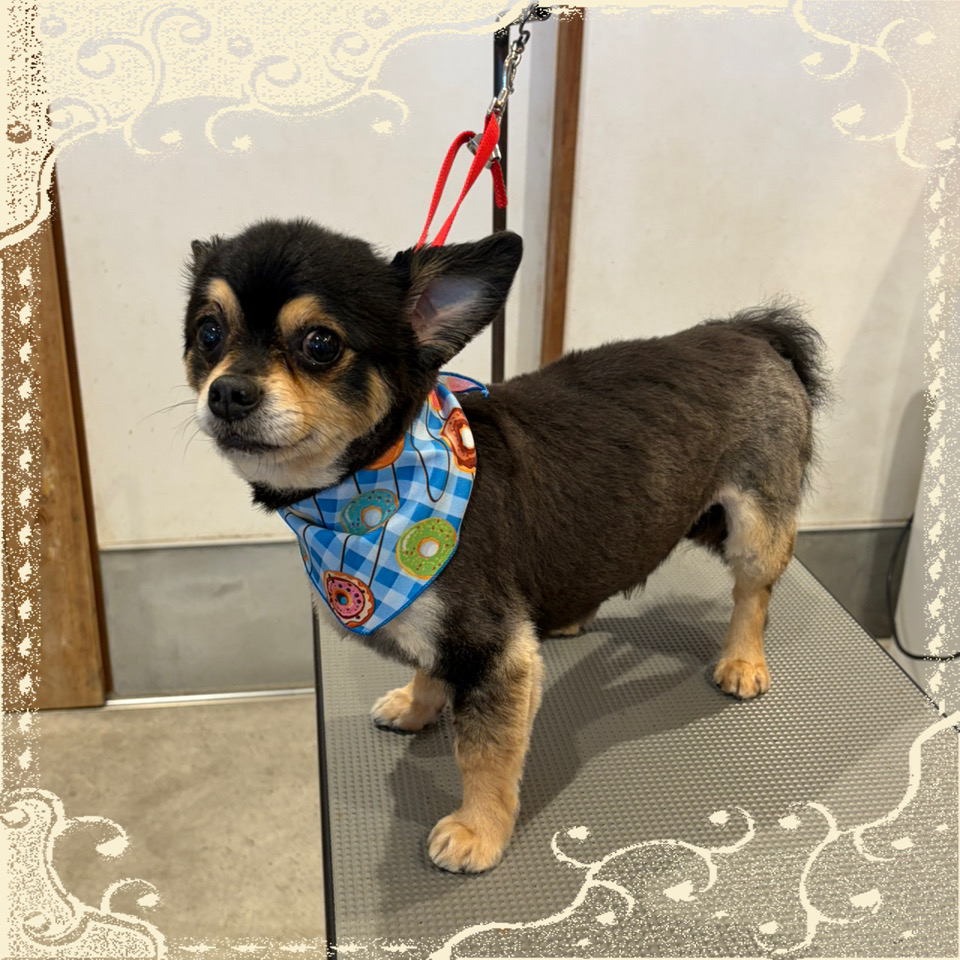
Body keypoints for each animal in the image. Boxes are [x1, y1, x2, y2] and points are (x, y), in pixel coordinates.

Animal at [182, 218, 827, 874]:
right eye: (207, 333)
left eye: (319, 344)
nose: (228, 392)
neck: (366, 496)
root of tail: (751, 330)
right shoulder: (444, 628)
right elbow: (428, 669)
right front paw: (416, 707)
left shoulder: (492, 650)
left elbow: (484, 753)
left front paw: (478, 830)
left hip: (755, 524)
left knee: (754, 594)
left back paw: (742, 661)